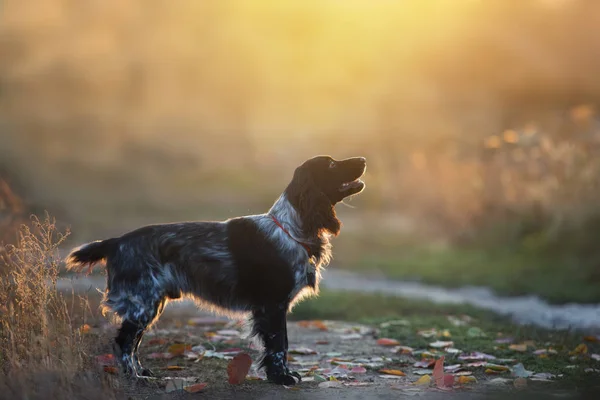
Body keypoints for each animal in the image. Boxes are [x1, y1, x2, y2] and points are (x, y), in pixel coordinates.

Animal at [65, 155, 366, 384]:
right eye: (330, 164)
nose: (363, 159)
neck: (291, 228)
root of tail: (116, 242)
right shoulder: (272, 306)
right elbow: (279, 345)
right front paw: (281, 377)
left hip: (150, 304)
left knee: (133, 342)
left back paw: (143, 372)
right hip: (142, 304)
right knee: (124, 343)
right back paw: (135, 378)